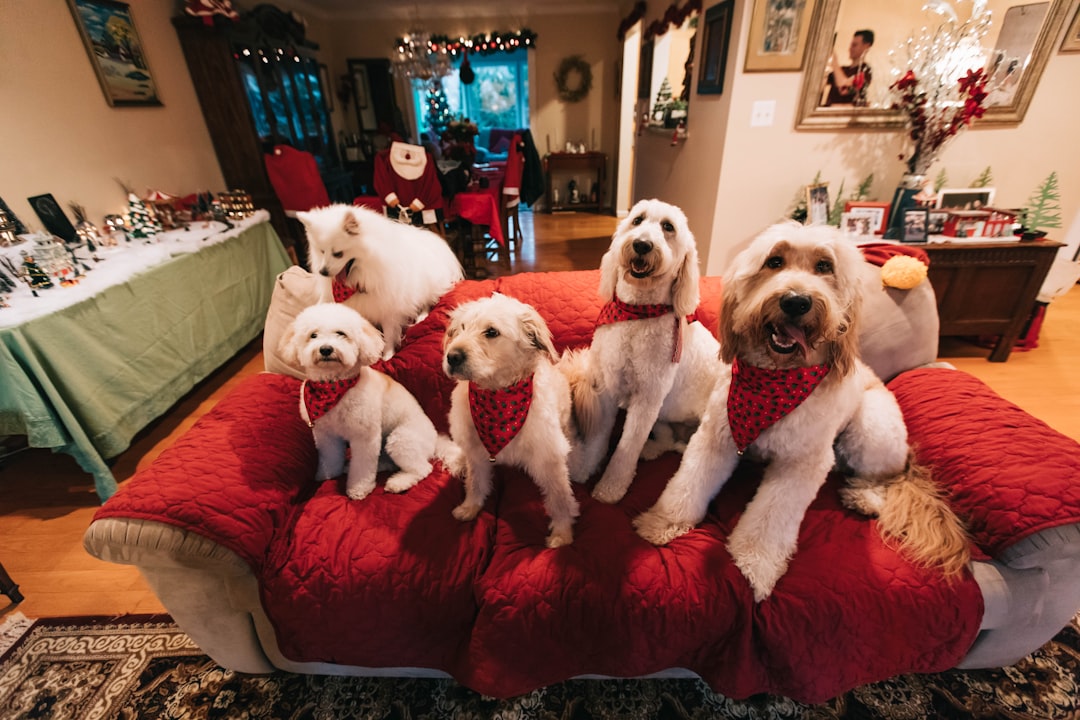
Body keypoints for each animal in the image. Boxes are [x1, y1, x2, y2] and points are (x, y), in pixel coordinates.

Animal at [280, 302, 453, 500]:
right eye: (313, 335)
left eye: (341, 333)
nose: (325, 349)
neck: (334, 389)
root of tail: (435, 439)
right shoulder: (325, 434)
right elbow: (330, 457)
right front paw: (328, 474)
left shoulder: (365, 437)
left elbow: (362, 467)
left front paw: (358, 489)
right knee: (387, 463)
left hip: (401, 439)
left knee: (423, 469)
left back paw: (399, 483)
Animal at [298, 202, 462, 360]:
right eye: (321, 251)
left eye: (338, 254)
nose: (323, 272)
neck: (357, 281)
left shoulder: (388, 309)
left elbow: (389, 335)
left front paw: (387, 355)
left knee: (428, 301)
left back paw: (422, 316)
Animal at [440, 293, 583, 546]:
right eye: (462, 328)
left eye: (491, 332)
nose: (452, 357)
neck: (498, 397)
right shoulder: (475, 453)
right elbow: (475, 483)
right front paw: (470, 507)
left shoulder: (549, 459)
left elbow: (560, 499)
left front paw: (562, 533)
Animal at [565, 197, 725, 500]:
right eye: (637, 220)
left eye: (668, 227)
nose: (641, 244)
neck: (636, 315)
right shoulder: (606, 386)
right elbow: (598, 437)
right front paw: (585, 467)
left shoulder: (647, 400)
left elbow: (626, 448)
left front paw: (610, 487)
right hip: (663, 419)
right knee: (666, 440)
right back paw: (650, 451)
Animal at [630, 221, 972, 604]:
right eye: (774, 261)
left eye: (825, 266)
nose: (796, 300)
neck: (774, 381)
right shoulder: (716, 437)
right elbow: (688, 484)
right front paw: (663, 523)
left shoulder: (801, 464)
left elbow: (772, 517)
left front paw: (755, 564)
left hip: (871, 429)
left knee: (887, 476)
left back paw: (864, 496)